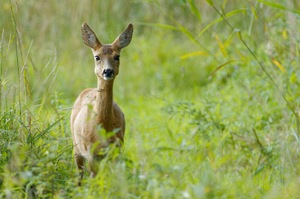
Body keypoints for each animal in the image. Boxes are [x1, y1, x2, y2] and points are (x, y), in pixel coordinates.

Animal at [71, 22, 133, 184]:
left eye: (117, 56)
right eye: (97, 57)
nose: (108, 71)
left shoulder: (117, 148)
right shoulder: (90, 152)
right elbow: (94, 178)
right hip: (76, 146)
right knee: (79, 173)